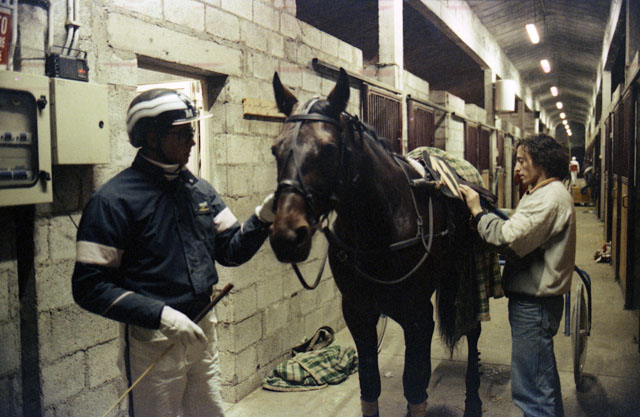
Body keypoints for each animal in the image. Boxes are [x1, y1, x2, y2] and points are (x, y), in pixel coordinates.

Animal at [268, 68, 484, 417]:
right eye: (276, 148)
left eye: (328, 148)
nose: (287, 236)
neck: (380, 226)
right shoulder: (359, 313)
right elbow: (370, 383)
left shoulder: (417, 314)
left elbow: (414, 384)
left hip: (468, 278)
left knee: (473, 332)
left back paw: (473, 401)